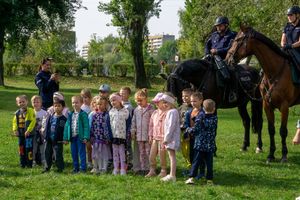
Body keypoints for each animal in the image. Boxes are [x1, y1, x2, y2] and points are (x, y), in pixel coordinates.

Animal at [226, 24, 300, 162]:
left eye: (237, 40)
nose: (227, 59)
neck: (274, 72)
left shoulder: (284, 106)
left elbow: (283, 131)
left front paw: (284, 155)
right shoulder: (267, 105)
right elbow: (271, 129)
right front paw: (271, 155)